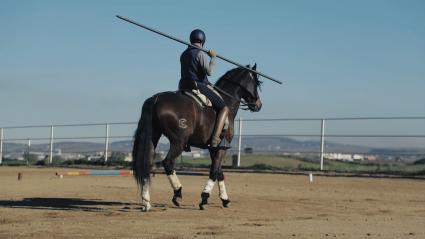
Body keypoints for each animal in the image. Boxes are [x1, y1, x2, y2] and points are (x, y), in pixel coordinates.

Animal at [132, 64, 262, 211]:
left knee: (147, 163)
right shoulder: (222, 147)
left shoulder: (214, 148)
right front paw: (204, 199)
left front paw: (225, 199)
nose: (258, 105)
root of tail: (156, 98)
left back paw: (146, 202)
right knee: (168, 162)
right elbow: (214, 172)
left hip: (153, 137)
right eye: (257, 83)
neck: (227, 100)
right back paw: (177, 193)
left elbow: (219, 172)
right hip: (179, 142)